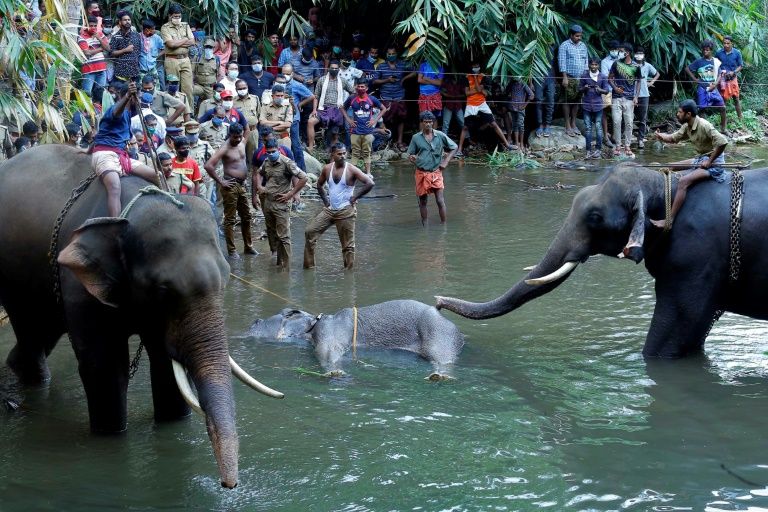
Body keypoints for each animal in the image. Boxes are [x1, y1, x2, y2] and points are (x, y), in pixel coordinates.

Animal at [0, 145, 282, 488]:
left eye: (226, 279)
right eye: (162, 290)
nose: (229, 485)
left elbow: (164, 365)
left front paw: (172, 425)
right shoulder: (79, 284)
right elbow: (105, 367)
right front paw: (110, 436)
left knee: (43, 331)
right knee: (30, 328)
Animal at [248, 298, 462, 378]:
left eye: (286, 314)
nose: (254, 321)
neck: (313, 323)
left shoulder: (328, 332)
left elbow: (327, 352)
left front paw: (335, 373)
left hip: (438, 335)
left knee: (442, 359)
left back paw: (439, 376)